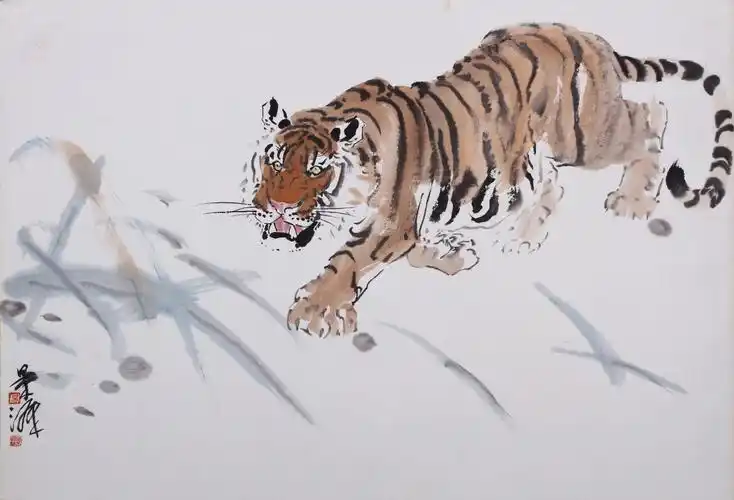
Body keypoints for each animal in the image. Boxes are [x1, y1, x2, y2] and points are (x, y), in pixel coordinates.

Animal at [237, 22, 732, 338]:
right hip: (538, 149)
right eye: (272, 161)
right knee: (549, 182)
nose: (277, 207)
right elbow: (418, 250)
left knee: (651, 113)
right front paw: (454, 254)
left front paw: (314, 311)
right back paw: (522, 237)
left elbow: (349, 260)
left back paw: (632, 198)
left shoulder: (391, 220)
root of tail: (585, 36)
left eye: (317, 170)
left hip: (586, 136)